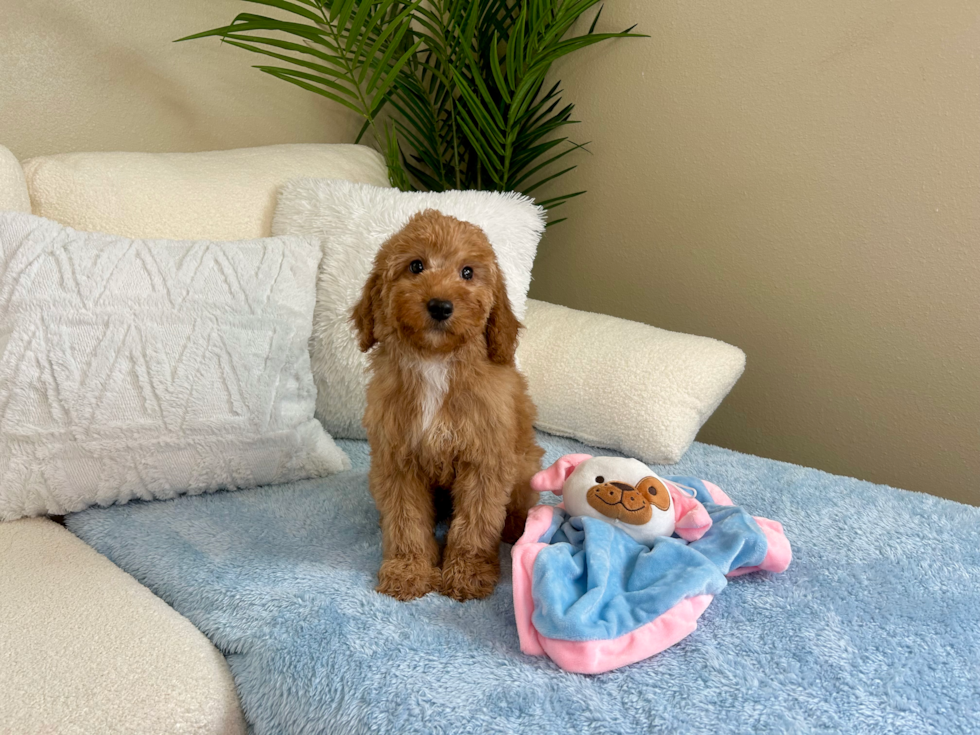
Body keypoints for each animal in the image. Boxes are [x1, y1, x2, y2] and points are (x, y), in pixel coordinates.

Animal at [350, 210, 544, 600]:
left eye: (467, 272)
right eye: (416, 266)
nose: (440, 306)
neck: (435, 361)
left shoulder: (484, 461)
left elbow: (476, 522)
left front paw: (468, 573)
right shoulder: (398, 460)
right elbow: (405, 520)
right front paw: (408, 570)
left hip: (524, 462)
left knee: (521, 501)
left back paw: (515, 526)